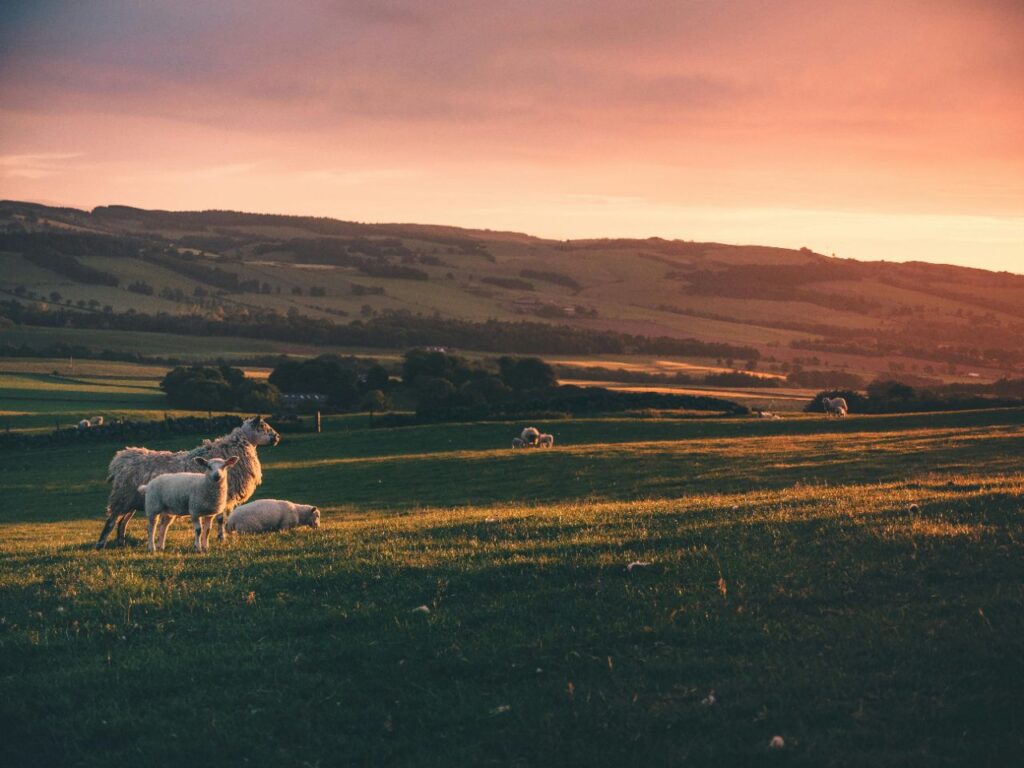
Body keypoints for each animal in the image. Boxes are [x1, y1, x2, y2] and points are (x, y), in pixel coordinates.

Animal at [96, 416, 280, 549]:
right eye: (263, 427)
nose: (277, 437)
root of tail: (120, 459)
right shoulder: (222, 495)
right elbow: (221, 519)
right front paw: (221, 538)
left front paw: (216, 539)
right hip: (123, 496)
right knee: (112, 520)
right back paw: (101, 544)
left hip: (133, 501)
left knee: (122, 522)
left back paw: (121, 543)